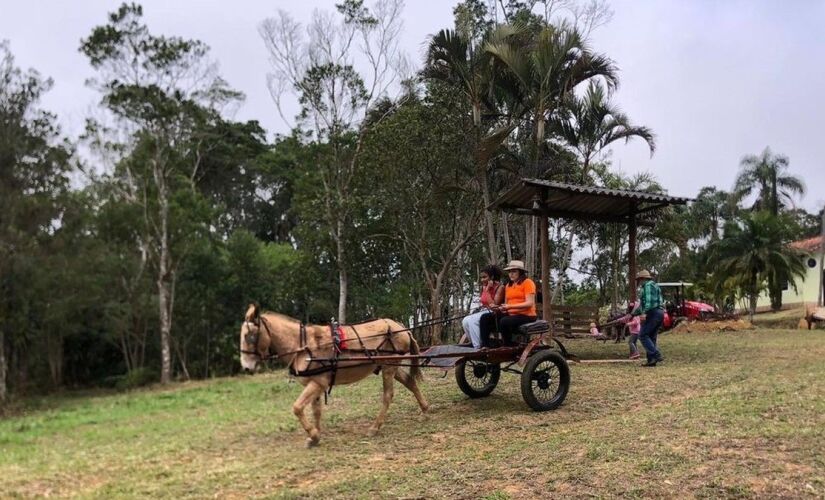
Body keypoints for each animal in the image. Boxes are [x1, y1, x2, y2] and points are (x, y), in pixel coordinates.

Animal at [238, 302, 428, 448]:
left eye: (249, 336)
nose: (246, 368)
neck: (303, 346)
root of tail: (402, 328)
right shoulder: (315, 383)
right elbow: (316, 411)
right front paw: (315, 436)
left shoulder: (318, 383)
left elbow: (297, 408)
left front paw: (313, 434)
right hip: (390, 365)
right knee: (410, 382)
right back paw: (425, 409)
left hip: (389, 367)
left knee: (388, 395)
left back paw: (375, 427)